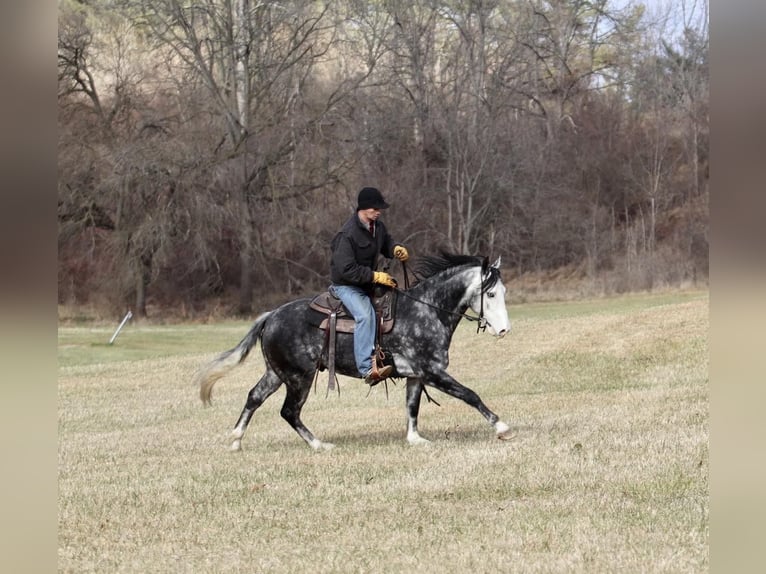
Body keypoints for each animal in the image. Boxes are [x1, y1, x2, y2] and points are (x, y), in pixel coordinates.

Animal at [195, 254, 516, 452]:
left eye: (503, 292)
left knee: (254, 397)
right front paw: (502, 427)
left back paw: (236, 440)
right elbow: (470, 394)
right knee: (289, 411)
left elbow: (412, 406)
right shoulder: (433, 372)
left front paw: (414, 439)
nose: (504, 330)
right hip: (299, 378)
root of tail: (270, 316)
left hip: (276, 373)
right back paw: (319, 445)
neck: (425, 310)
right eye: (489, 294)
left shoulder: (416, 374)